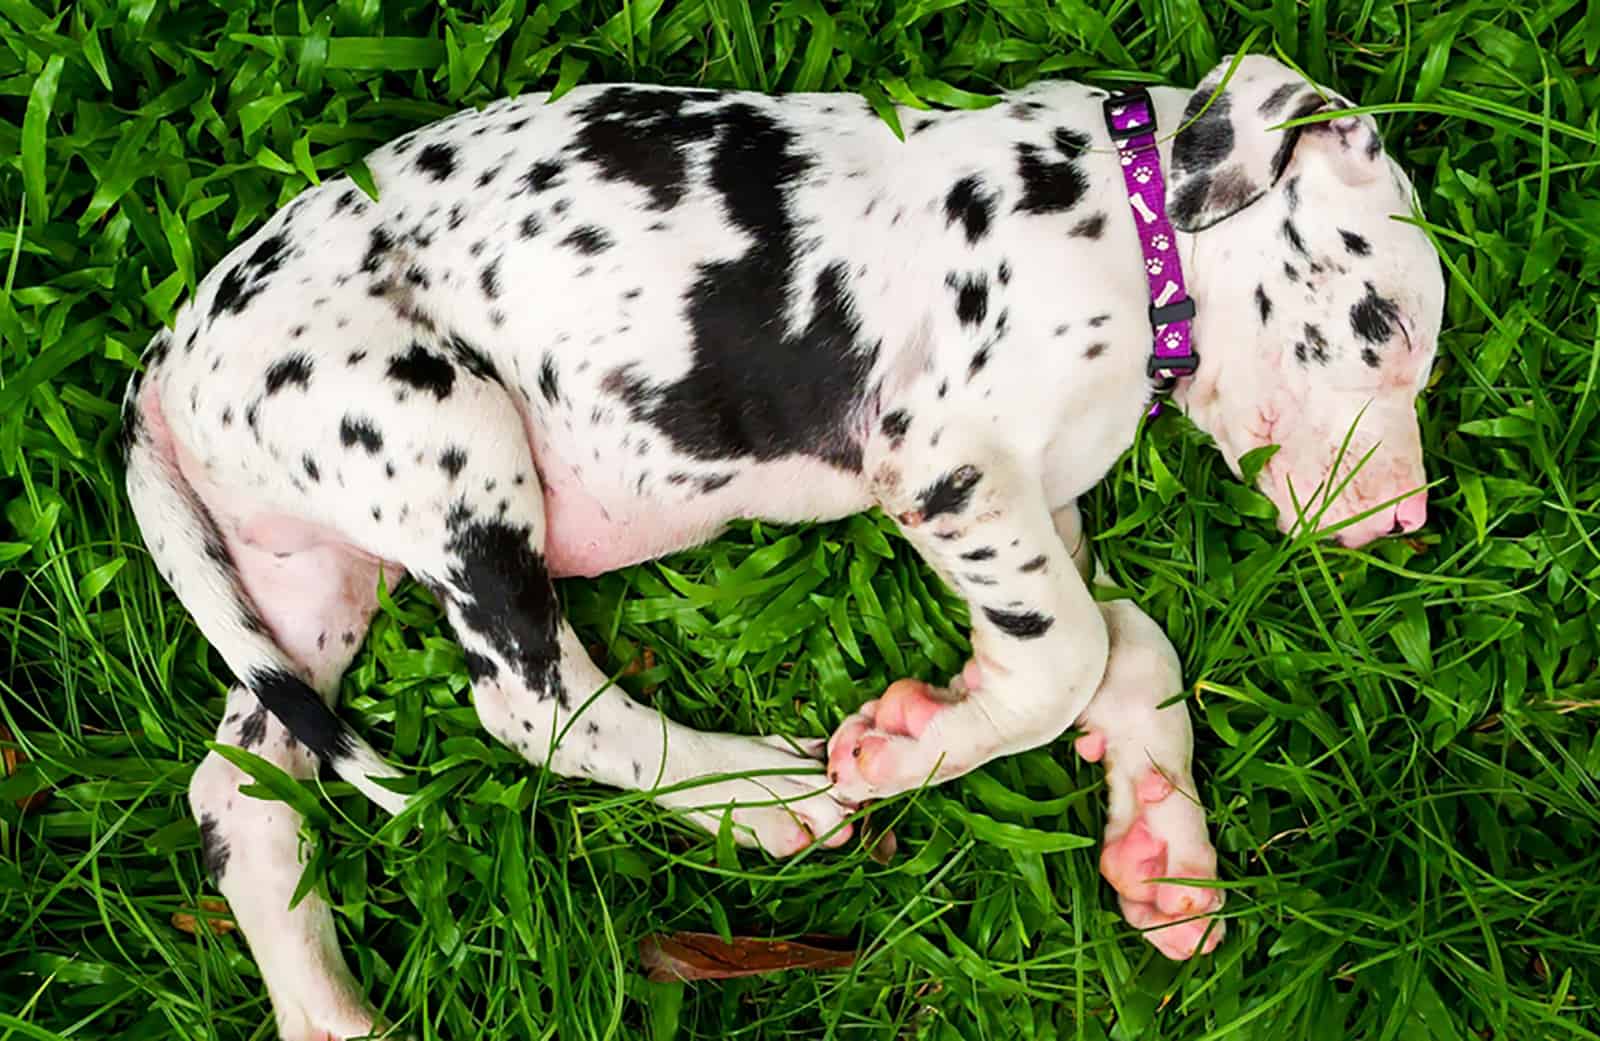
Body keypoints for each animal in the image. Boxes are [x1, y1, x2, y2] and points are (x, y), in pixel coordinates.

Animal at [121, 59, 1452, 1041]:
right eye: (1381, 325)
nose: (1405, 521)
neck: (1121, 218)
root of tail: (164, 366)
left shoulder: (1043, 509)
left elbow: (1129, 646)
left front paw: (1161, 848)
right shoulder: (950, 464)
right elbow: (1067, 653)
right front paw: (908, 749)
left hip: (303, 586)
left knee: (242, 793)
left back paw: (324, 1008)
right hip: (443, 439)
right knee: (534, 703)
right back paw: (764, 798)